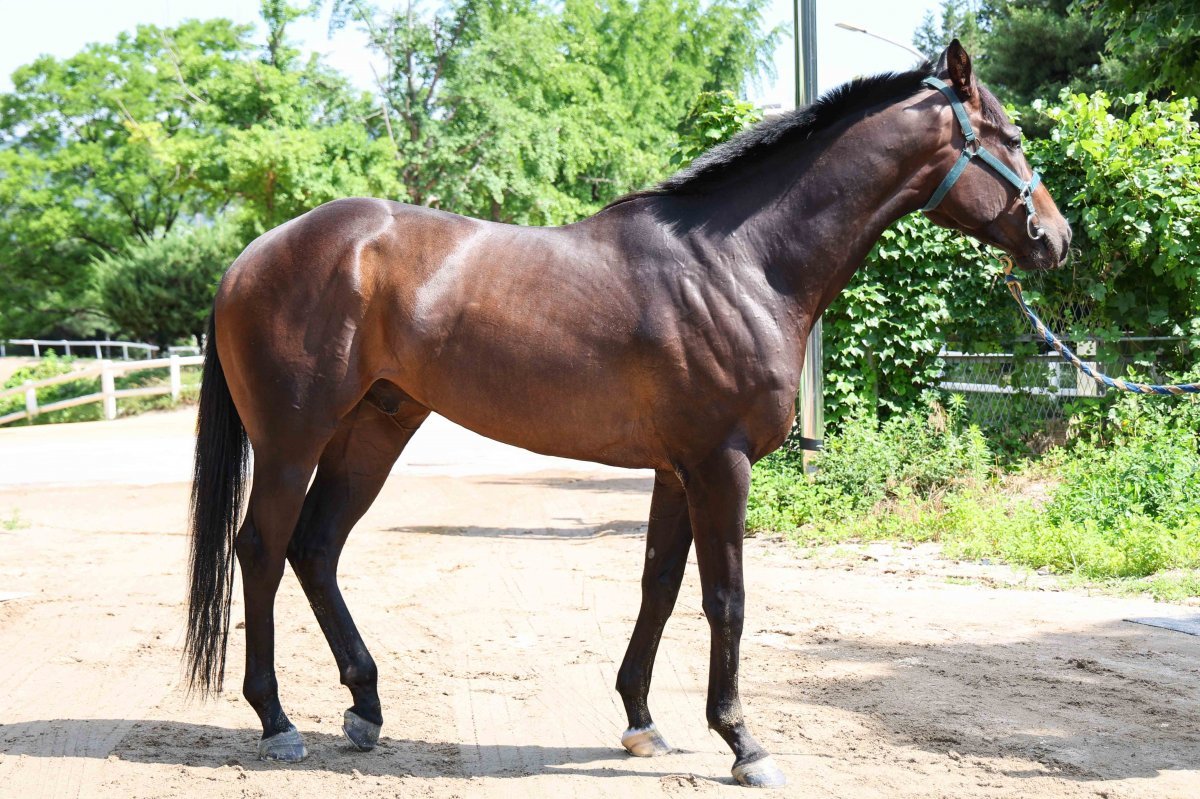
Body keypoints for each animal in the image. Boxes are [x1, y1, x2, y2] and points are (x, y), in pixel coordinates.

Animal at [184, 41, 1070, 782]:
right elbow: (726, 598)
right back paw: (277, 721)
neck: (739, 263)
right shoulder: (720, 464)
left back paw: (365, 707)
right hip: (292, 441)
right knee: (261, 549)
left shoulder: (677, 471)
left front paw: (643, 722)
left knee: (317, 547)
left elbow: (660, 586)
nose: (1057, 237)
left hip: (376, 427)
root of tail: (250, 256)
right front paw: (744, 742)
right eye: (1011, 136)